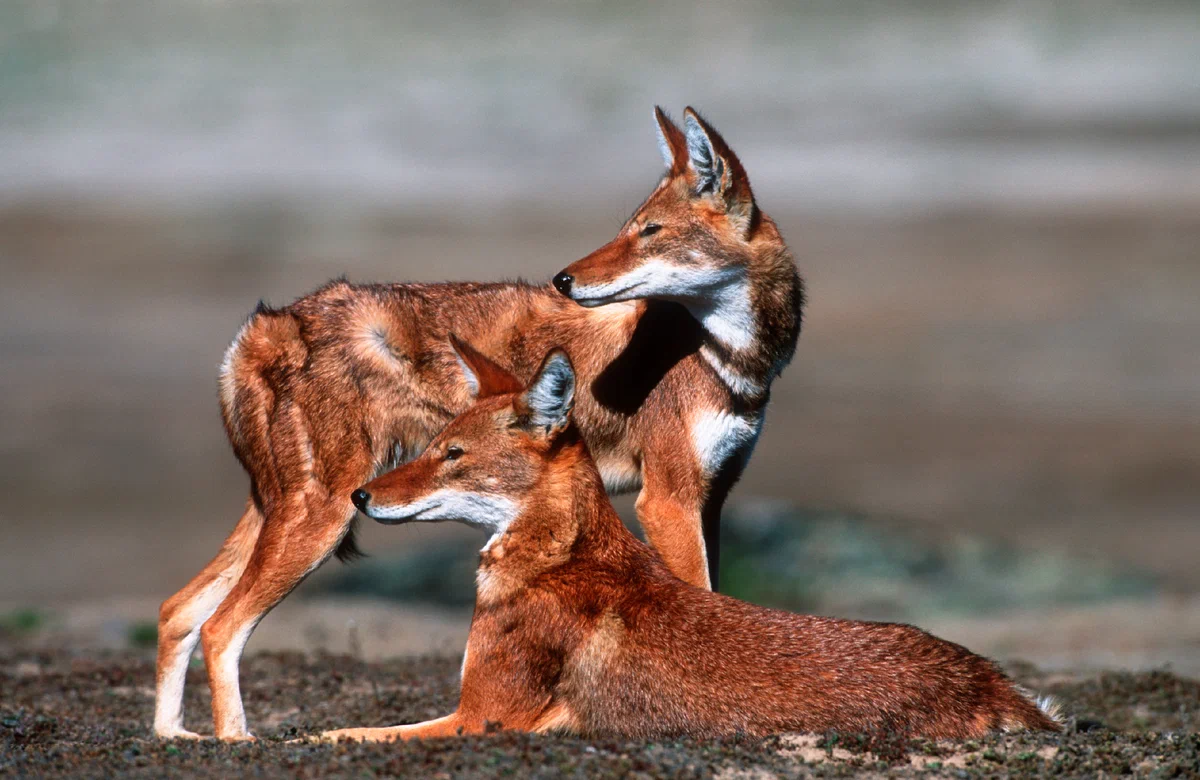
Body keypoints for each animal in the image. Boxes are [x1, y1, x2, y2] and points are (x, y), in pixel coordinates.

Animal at [154, 108, 801, 734]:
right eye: (629, 228)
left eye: (650, 232)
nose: (564, 279)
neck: (729, 359)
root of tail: (266, 327)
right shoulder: (666, 500)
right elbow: (700, 599)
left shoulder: (710, 498)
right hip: (321, 520)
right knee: (219, 627)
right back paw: (233, 739)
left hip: (280, 516)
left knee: (176, 612)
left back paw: (173, 736)